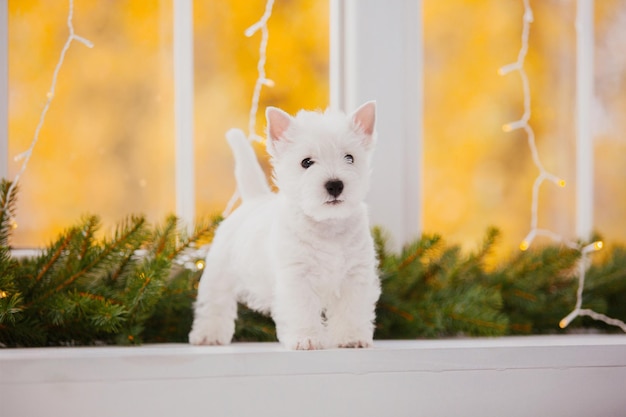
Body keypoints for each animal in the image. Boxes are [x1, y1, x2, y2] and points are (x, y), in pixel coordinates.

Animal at [188, 101, 378, 348]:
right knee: (214, 302)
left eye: (350, 158)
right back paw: (208, 335)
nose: (335, 185)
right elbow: (303, 309)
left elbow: (351, 310)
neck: (326, 226)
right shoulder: (297, 277)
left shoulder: (356, 275)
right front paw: (307, 339)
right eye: (306, 162)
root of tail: (253, 198)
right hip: (219, 271)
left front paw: (352, 338)